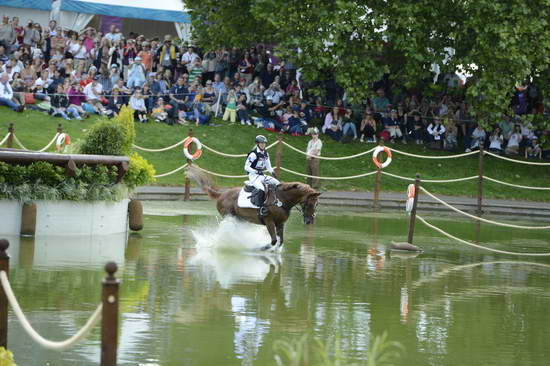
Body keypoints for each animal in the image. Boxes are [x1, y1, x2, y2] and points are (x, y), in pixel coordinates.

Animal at [188, 167, 322, 250]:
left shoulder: (280, 223)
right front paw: (260, 248)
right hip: (230, 217)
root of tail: (221, 195)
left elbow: (280, 241)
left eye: (317, 205)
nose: (309, 221)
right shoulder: (269, 221)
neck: (282, 199)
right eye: (309, 204)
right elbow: (273, 241)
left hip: (240, 219)